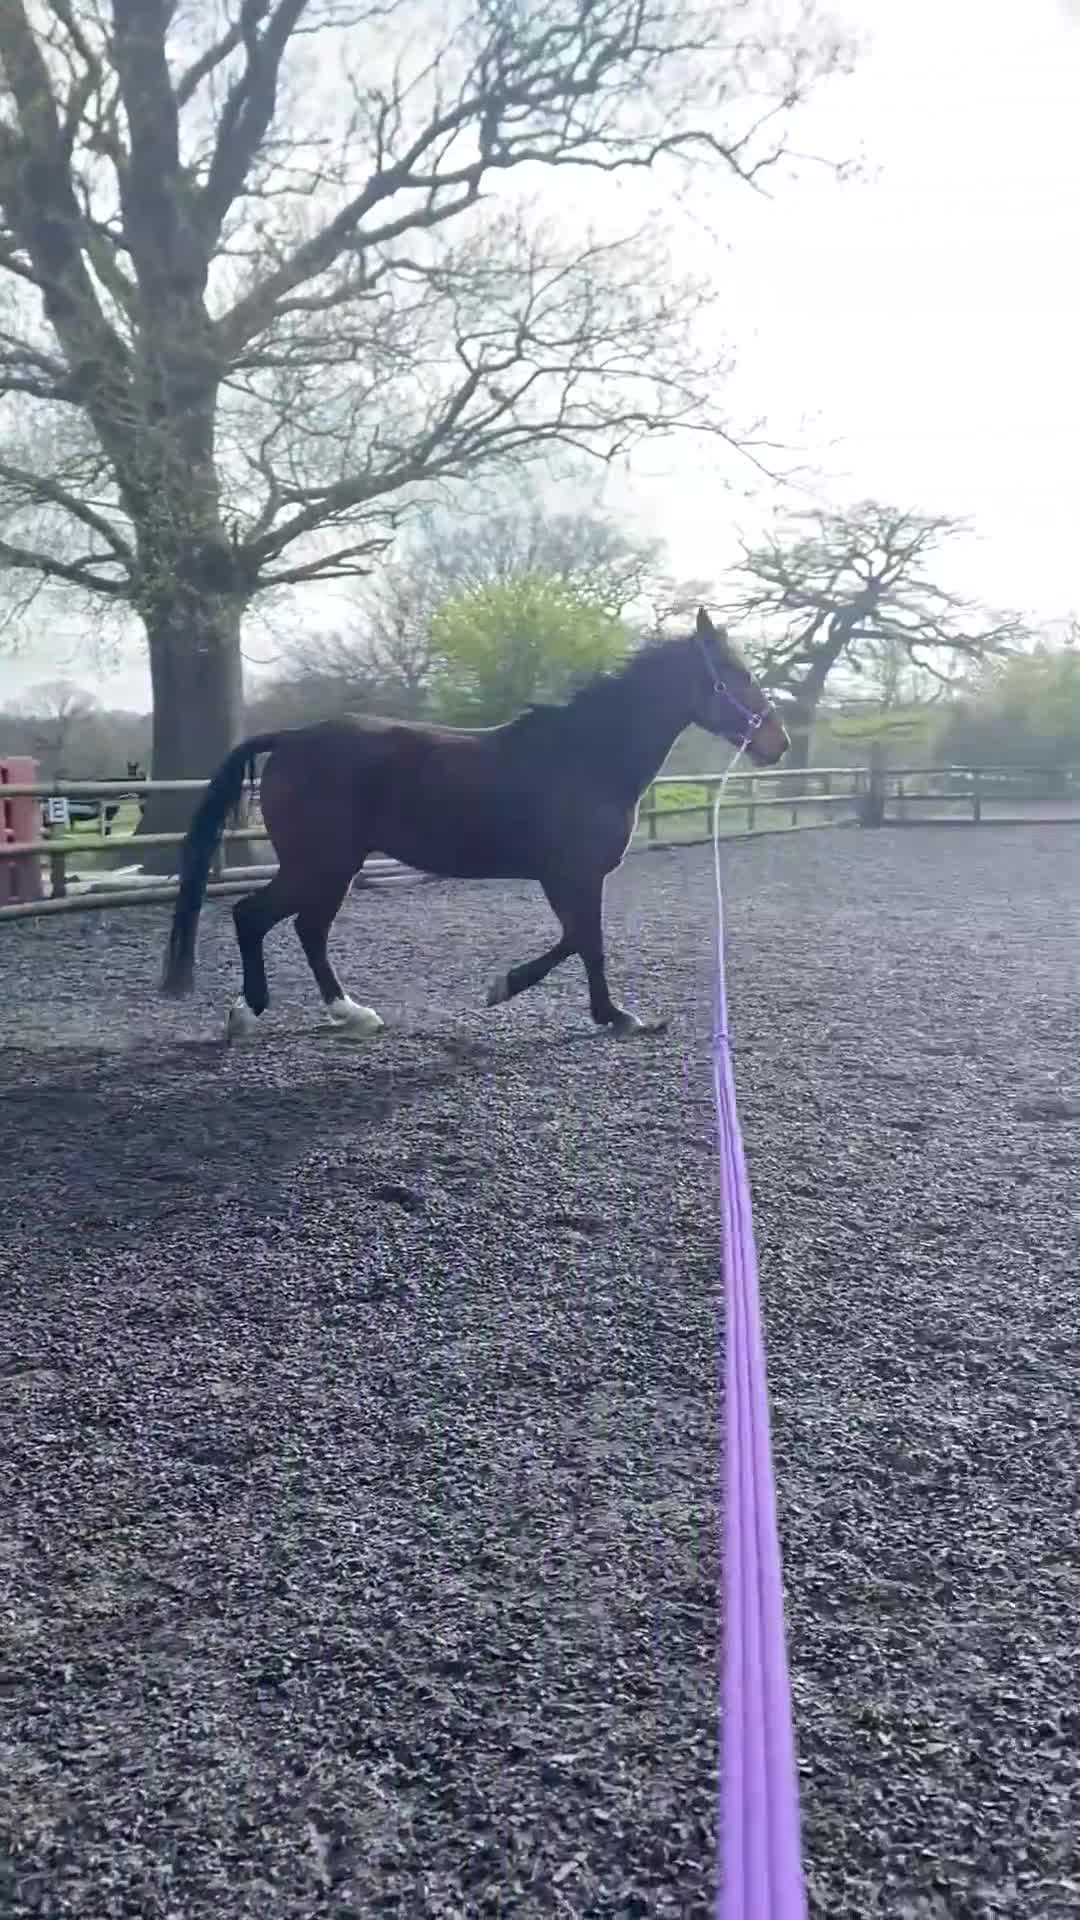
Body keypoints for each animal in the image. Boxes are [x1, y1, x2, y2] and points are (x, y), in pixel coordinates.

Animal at [161, 608, 788, 1041]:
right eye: (736, 674)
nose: (776, 743)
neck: (587, 755)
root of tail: (292, 738)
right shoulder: (572, 875)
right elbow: (586, 942)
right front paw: (605, 1013)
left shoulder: (571, 877)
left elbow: (579, 940)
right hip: (321, 864)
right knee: (255, 917)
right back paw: (249, 1013)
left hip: (331, 868)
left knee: (307, 930)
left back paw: (351, 1014)